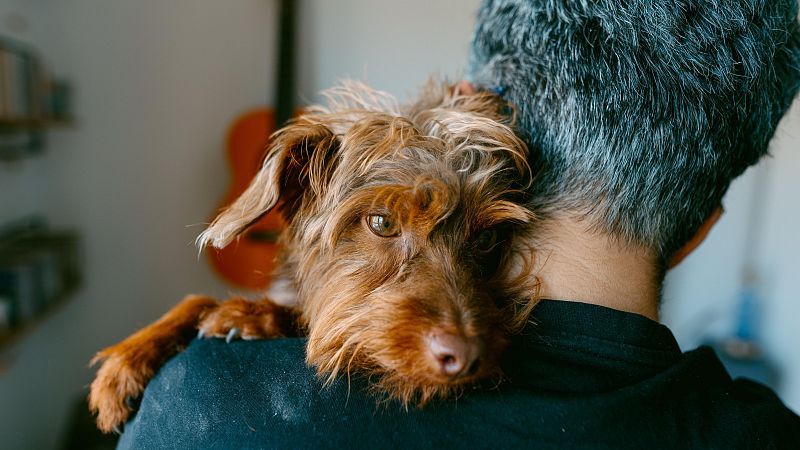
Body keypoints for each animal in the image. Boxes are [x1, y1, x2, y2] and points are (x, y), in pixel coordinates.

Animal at [89, 81, 536, 432]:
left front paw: (252, 316)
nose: (465, 356)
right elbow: (195, 299)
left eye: (486, 238)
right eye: (381, 222)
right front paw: (127, 362)